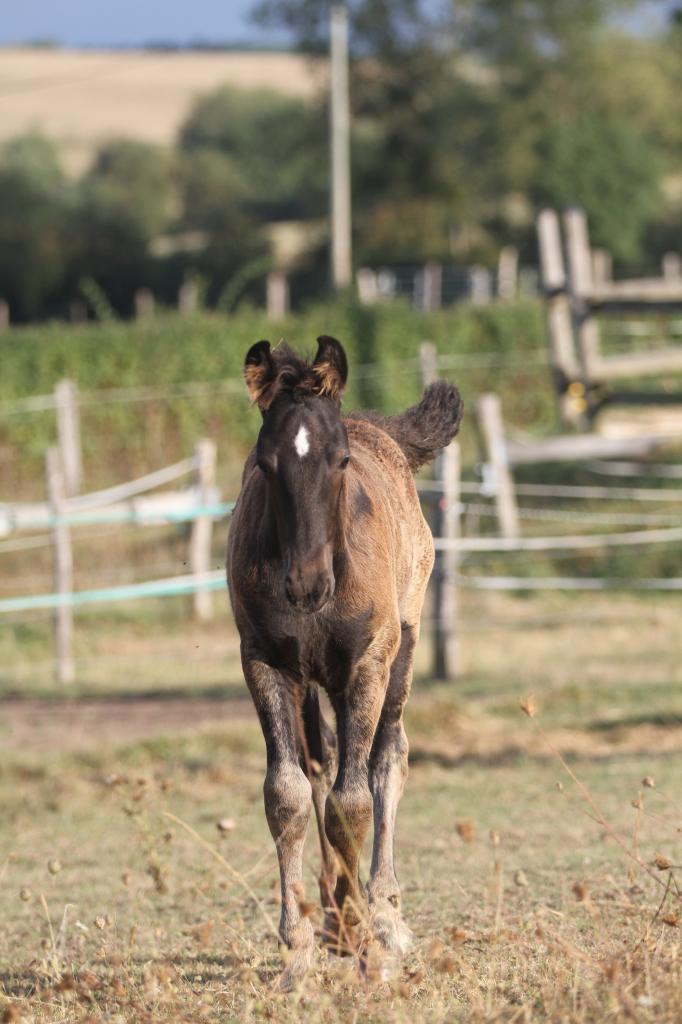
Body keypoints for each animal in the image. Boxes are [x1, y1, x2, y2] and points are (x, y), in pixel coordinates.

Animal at [225, 335, 458, 983]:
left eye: (342, 461)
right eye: (264, 463)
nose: (305, 583)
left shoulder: (367, 663)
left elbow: (352, 801)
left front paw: (368, 941)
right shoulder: (266, 663)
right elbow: (288, 793)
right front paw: (298, 948)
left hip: (402, 646)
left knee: (387, 759)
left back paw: (383, 914)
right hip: (311, 680)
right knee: (321, 763)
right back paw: (334, 915)